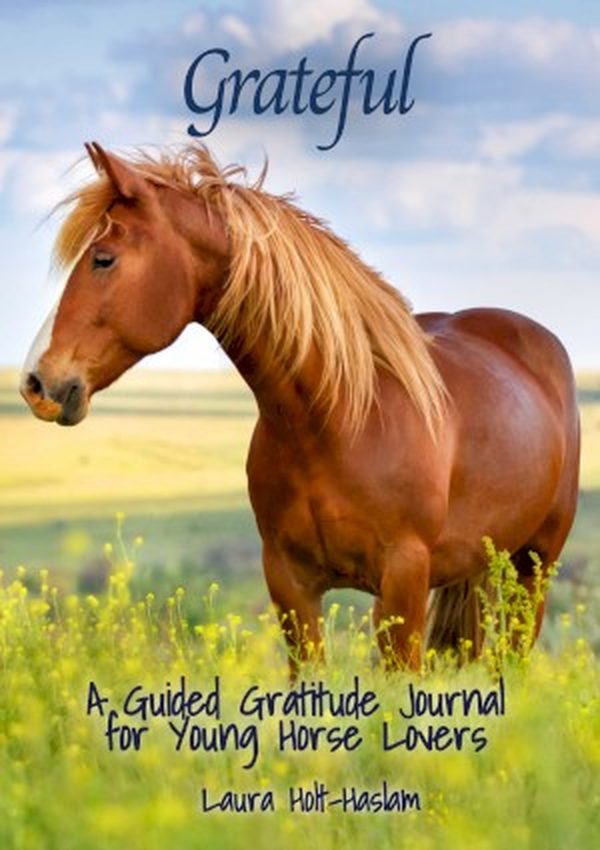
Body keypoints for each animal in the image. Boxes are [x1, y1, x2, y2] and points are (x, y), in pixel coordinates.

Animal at [20, 142, 580, 675]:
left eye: (103, 259)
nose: (35, 382)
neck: (339, 422)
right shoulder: (291, 585)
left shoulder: (403, 583)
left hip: (533, 569)